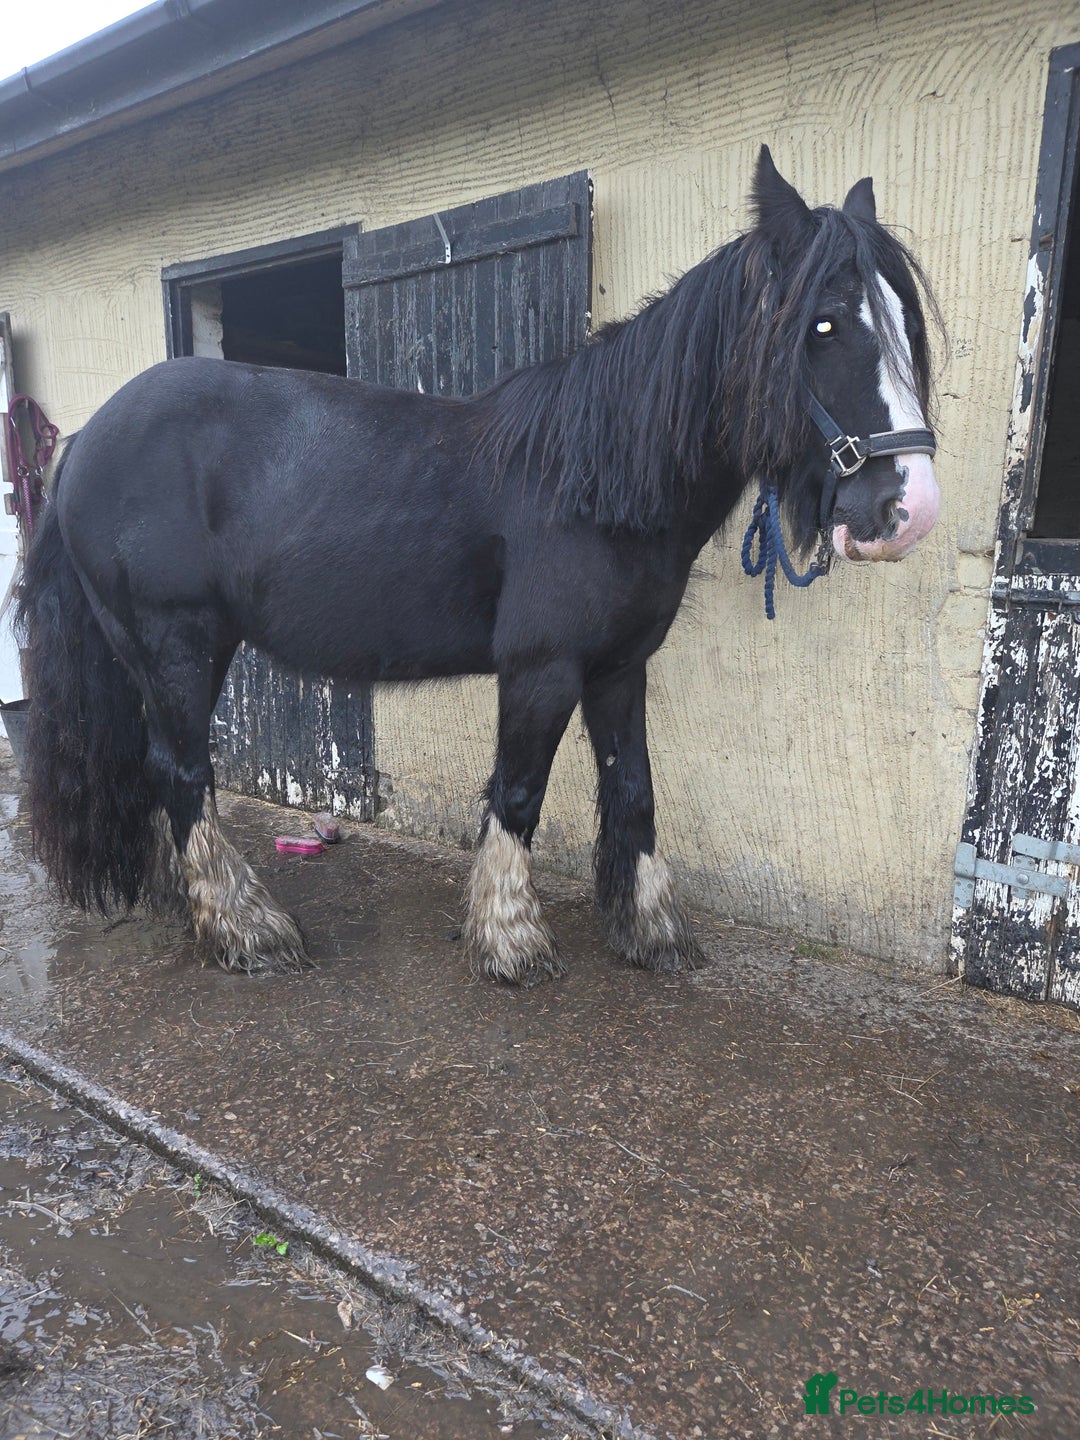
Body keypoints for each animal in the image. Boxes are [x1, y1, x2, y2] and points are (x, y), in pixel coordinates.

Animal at [16, 146, 940, 985]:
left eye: (907, 322)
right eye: (823, 324)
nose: (909, 509)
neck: (593, 480)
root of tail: (86, 440)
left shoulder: (619, 667)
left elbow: (635, 790)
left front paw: (649, 931)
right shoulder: (541, 668)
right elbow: (519, 794)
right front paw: (510, 940)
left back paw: (191, 906)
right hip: (176, 643)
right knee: (182, 771)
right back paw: (247, 928)